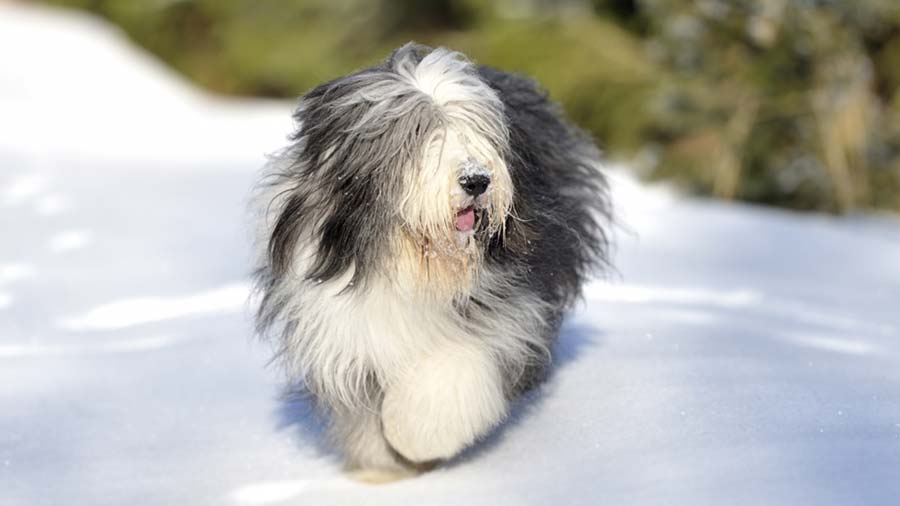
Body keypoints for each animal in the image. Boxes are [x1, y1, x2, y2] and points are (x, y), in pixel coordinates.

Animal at [256, 44, 616, 482]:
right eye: (417, 133)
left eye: (476, 131)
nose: (477, 180)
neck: (413, 265)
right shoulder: (344, 327)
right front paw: (381, 469)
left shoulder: (506, 310)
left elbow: (449, 373)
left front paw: (415, 438)